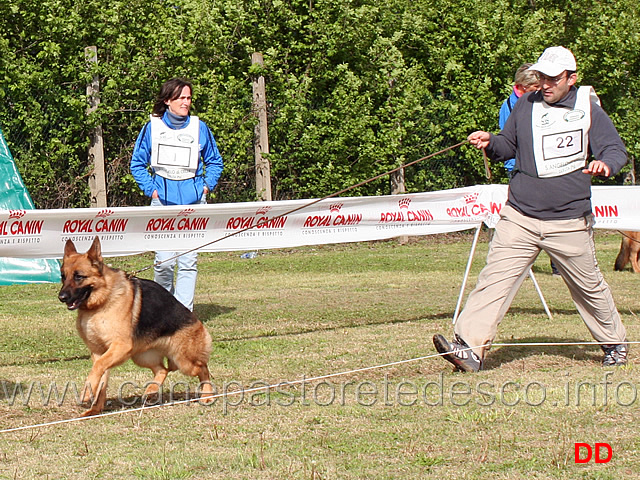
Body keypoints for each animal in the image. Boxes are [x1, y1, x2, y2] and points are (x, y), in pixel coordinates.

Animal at [58, 236, 212, 416]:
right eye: (63, 276)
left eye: (79, 277)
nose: (61, 297)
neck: (102, 302)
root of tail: (196, 321)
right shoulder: (100, 352)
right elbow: (101, 377)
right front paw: (95, 409)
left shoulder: (119, 347)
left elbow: (98, 367)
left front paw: (86, 393)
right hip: (141, 356)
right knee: (163, 370)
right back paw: (152, 391)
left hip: (184, 361)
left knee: (203, 368)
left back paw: (207, 395)